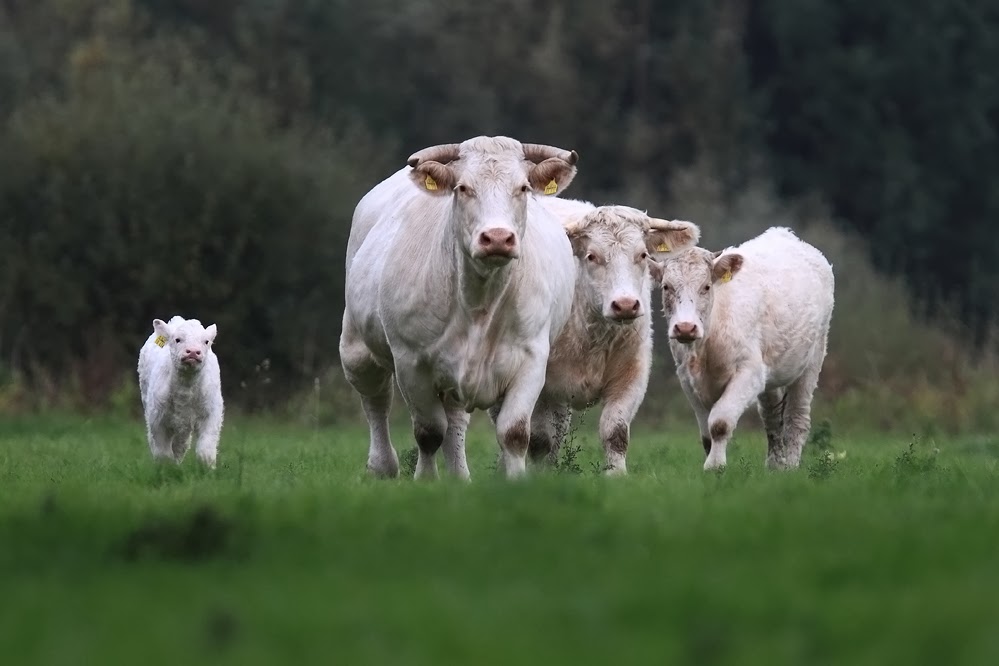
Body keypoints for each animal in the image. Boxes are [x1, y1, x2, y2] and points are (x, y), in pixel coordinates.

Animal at [136, 314, 222, 464]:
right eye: (177, 340)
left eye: (206, 341)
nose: (193, 352)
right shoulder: (157, 419)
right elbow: (163, 454)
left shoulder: (211, 413)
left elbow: (205, 451)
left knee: (181, 444)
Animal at [342, 135, 580, 478]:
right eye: (463, 188)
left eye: (523, 187)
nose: (497, 237)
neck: (479, 302)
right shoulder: (410, 362)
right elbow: (428, 433)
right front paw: (425, 481)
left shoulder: (532, 359)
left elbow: (514, 433)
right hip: (356, 347)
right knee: (375, 398)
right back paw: (382, 465)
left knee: (454, 421)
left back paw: (459, 477)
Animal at [494, 200, 704, 474]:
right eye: (592, 256)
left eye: (643, 255)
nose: (625, 305)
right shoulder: (537, 380)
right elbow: (539, 440)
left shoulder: (632, 376)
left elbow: (615, 432)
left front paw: (617, 475)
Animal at [656, 226, 836, 470]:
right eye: (666, 286)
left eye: (706, 286)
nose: (685, 327)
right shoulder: (687, 378)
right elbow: (706, 435)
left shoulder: (749, 372)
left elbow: (719, 423)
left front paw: (715, 467)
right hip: (772, 374)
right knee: (772, 417)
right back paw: (775, 466)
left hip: (812, 360)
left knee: (797, 417)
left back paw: (790, 467)